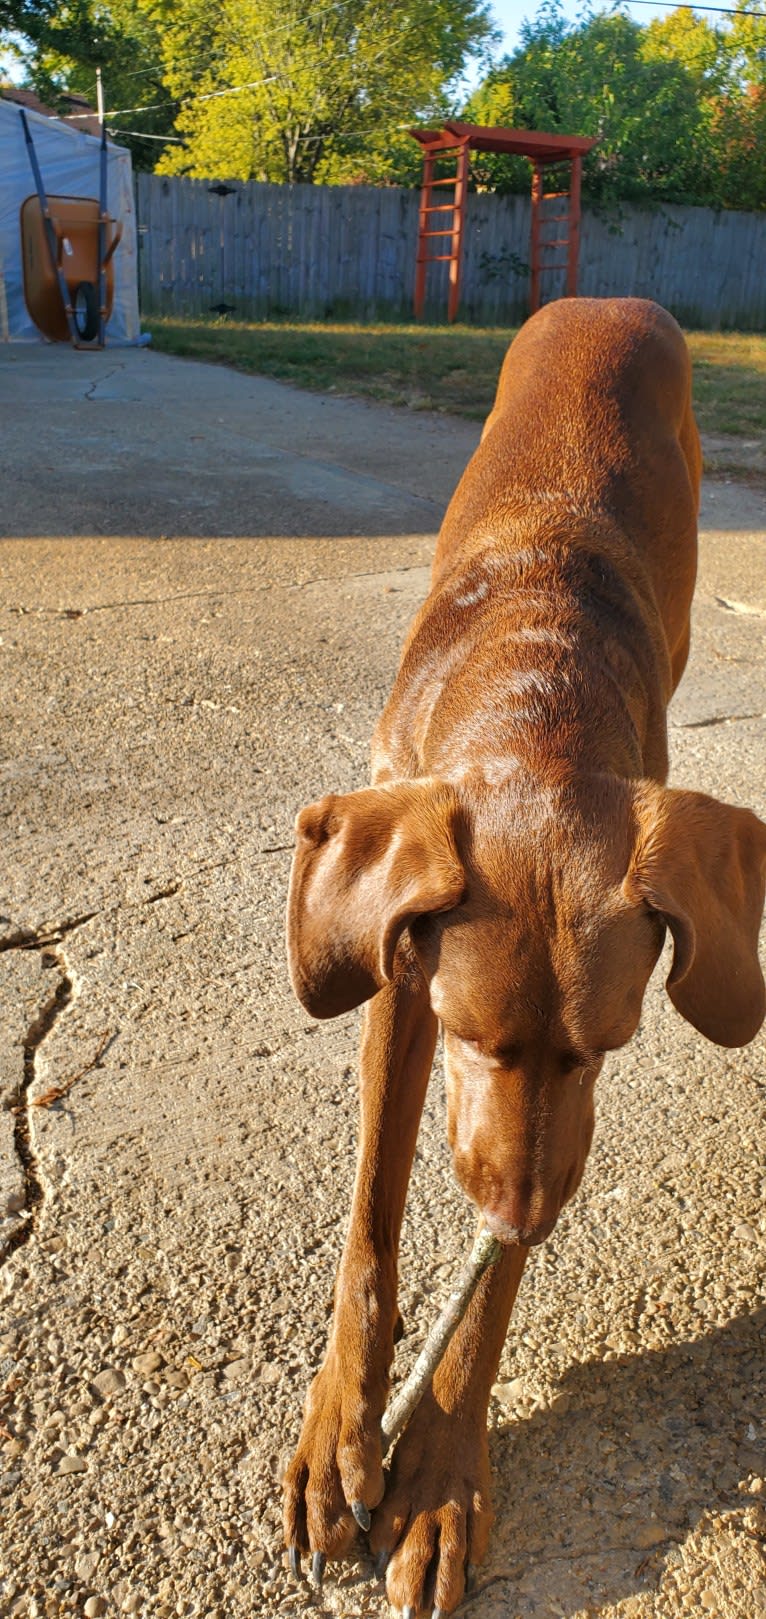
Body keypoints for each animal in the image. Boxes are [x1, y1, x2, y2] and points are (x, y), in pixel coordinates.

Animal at [281, 297, 764, 1612]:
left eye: (609, 1047)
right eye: (466, 1034)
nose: (526, 1214)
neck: (536, 698)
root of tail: (612, 299)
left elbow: (490, 1280)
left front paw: (441, 1470)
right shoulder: (400, 979)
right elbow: (370, 1213)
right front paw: (340, 1427)